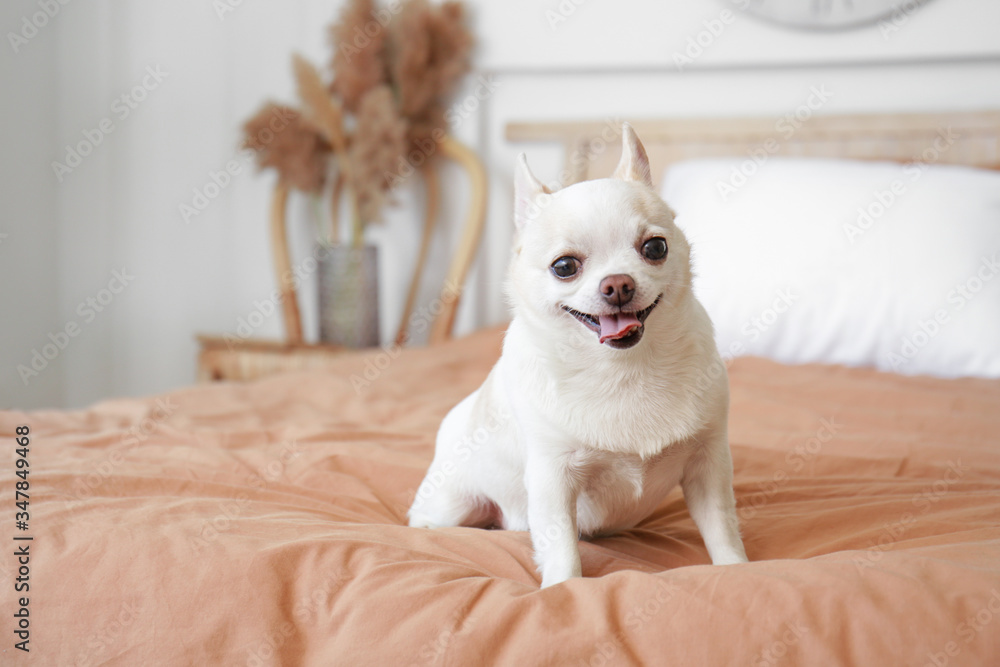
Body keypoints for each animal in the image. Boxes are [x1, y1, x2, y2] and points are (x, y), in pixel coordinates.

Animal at [410, 125, 748, 588]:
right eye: (564, 266)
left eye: (655, 248)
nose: (618, 284)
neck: (624, 370)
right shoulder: (553, 479)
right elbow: (562, 545)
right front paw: (563, 589)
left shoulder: (708, 464)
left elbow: (720, 524)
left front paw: (735, 569)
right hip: (455, 503)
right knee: (430, 518)